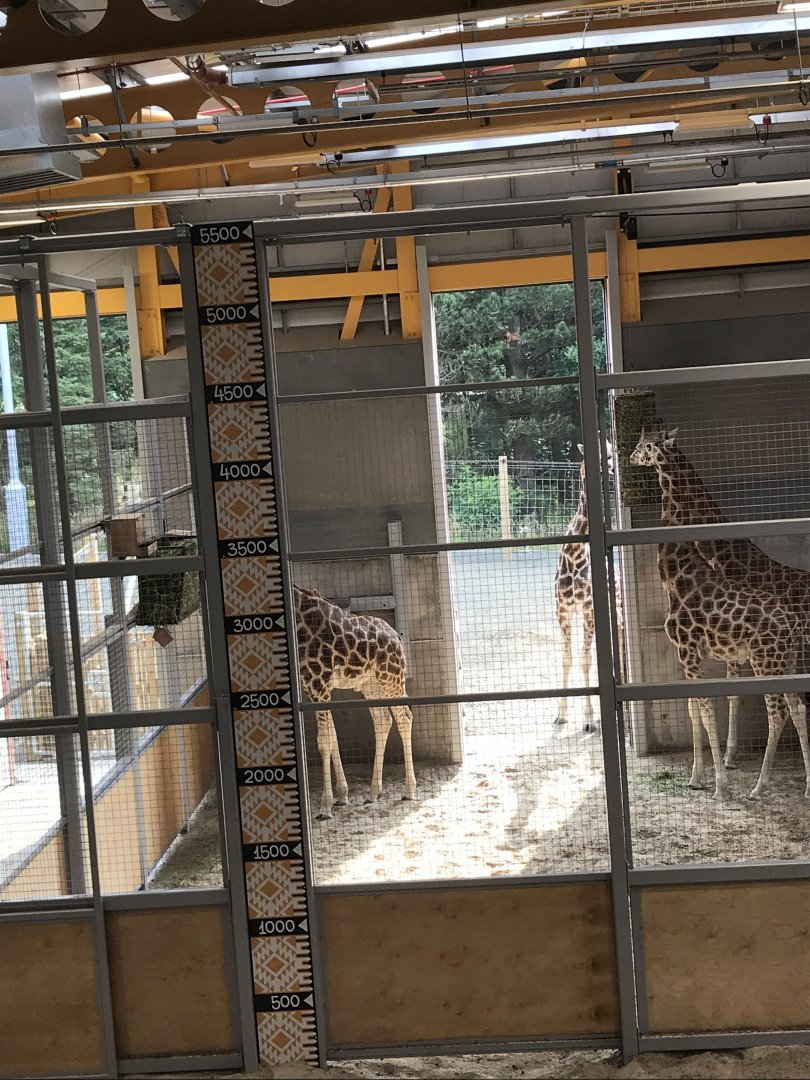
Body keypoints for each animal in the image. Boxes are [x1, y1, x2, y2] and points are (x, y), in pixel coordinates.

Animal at [294, 584, 417, 820]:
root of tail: (396, 636)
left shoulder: (318, 683)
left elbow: (324, 741)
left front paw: (325, 806)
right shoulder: (313, 687)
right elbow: (332, 737)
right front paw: (342, 795)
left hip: (391, 678)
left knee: (404, 718)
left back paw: (409, 790)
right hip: (371, 684)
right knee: (383, 721)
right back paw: (373, 792)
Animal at [630, 429, 810, 800]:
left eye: (647, 445)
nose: (628, 456)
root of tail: (793, 624)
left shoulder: (692, 649)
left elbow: (708, 706)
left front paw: (721, 782)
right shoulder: (690, 652)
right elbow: (696, 706)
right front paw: (698, 776)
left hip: (766, 662)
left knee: (778, 713)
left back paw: (759, 786)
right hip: (786, 662)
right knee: (797, 707)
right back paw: (807, 786)